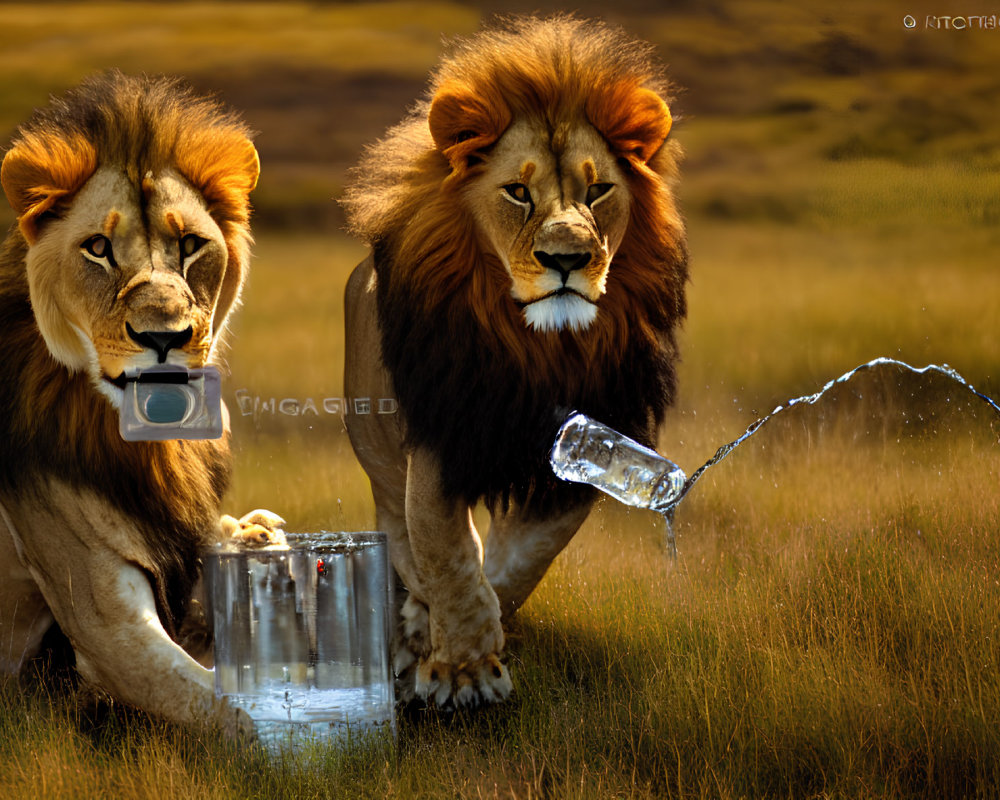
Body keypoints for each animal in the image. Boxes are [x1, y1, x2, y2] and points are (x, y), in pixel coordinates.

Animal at [0, 72, 282, 736]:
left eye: (191, 245)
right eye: (98, 248)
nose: (164, 336)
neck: (145, 445)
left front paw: (257, 536)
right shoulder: (110, 632)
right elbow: (239, 714)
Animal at [344, 15, 688, 708]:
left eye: (599, 190)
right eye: (518, 193)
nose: (567, 259)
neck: (538, 346)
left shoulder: (586, 447)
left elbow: (520, 560)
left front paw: (464, 648)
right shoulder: (441, 438)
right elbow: (448, 554)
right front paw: (462, 669)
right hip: (379, 457)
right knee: (402, 538)